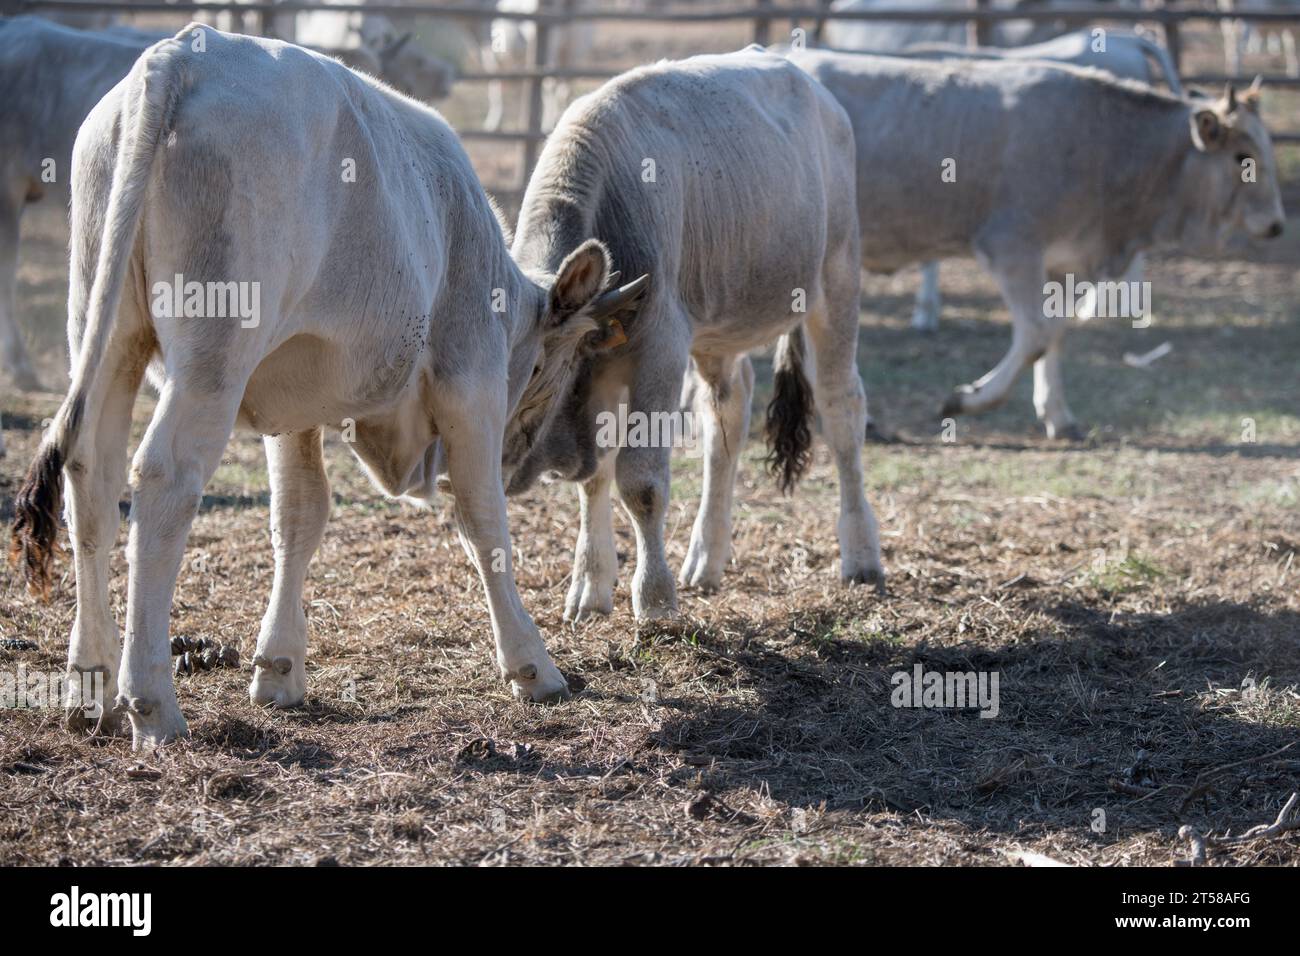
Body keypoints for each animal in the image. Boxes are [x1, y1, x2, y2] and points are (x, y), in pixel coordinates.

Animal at [5, 24, 644, 749]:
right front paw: (532, 664)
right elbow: (484, 523)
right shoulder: (470, 383)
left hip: (106, 328)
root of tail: (184, 55)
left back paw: (91, 686)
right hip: (212, 357)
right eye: (541, 370)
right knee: (163, 478)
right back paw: (151, 702)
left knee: (92, 474)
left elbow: (300, 515)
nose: (523, 457)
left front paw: (279, 668)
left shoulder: (293, 406)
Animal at [501, 48, 889, 624]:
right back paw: (707, 556)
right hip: (718, 330)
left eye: (530, 368)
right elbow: (597, 476)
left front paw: (655, 598)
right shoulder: (606, 369)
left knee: (842, 407)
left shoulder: (660, 349)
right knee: (727, 413)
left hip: (836, 280)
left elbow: (640, 482)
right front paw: (590, 586)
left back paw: (861, 554)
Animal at [785, 47, 1284, 437]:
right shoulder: (1012, 248)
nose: (1278, 224)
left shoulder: (1065, 262)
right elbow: (1035, 334)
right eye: (1243, 156)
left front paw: (1058, 415)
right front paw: (970, 398)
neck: (1107, 144)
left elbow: (1057, 332)